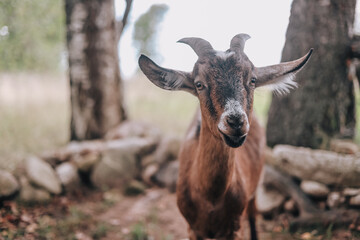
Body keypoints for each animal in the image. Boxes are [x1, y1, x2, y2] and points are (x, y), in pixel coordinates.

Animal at [138, 34, 312, 240]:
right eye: (199, 84)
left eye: (253, 80)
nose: (236, 122)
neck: (210, 198)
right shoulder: (192, 229)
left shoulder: (235, 227)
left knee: (253, 214)